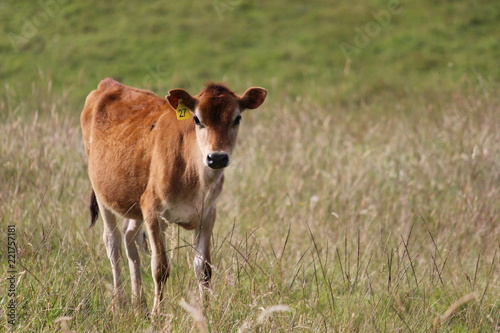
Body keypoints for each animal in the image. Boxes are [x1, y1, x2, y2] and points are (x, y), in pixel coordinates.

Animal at [80, 78, 268, 314]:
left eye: (237, 118)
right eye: (197, 119)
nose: (217, 158)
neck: (195, 177)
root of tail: (109, 83)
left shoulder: (207, 214)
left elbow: (203, 268)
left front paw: (205, 311)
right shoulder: (153, 211)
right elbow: (160, 267)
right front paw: (157, 315)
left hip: (134, 202)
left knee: (129, 238)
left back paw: (138, 303)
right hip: (103, 194)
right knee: (112, 243)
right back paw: (119, 303)